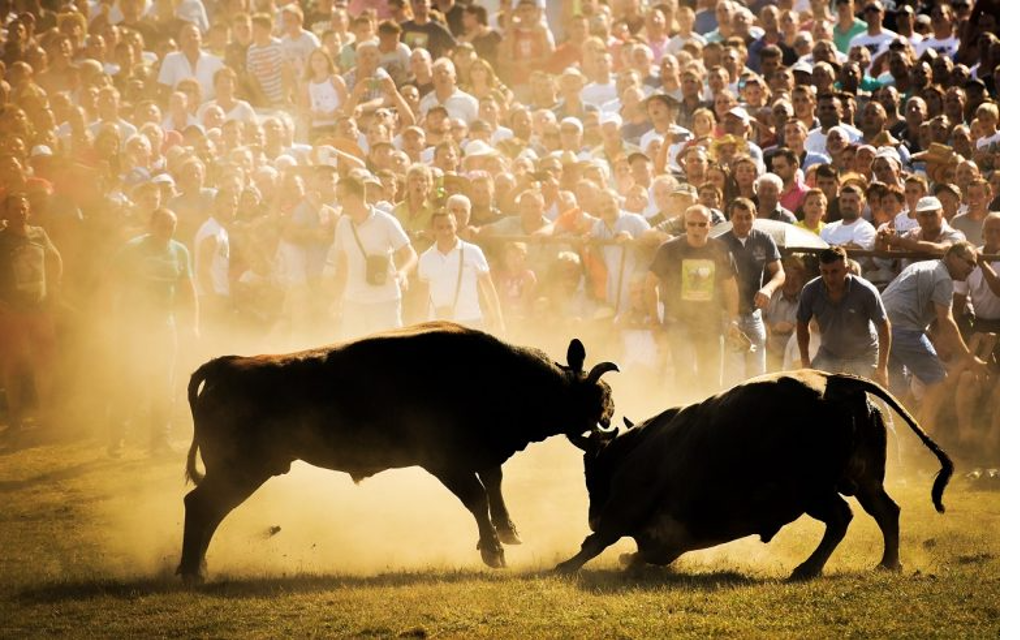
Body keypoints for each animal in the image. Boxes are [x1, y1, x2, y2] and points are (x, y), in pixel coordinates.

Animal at [179, 322, 616, 583]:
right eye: (595, 395)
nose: (610, 408)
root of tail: (228, 366)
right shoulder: (443, 462)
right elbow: (476, 496)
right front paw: (493, 552)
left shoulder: (480, 456)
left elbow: (493, 484)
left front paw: (509, 532)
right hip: (241, 470)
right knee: (201, 505)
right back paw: (192, 571)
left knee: (206, 508)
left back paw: (197, 567)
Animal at [554, 371, 950, 579]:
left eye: (592, 469)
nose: (591, 516)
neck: (637, 448)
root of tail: (837, 382)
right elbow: (641, 551)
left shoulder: (625, 509)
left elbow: (599, 541)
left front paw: (564, 566)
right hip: (865, 481)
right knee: (885, 511)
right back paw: (888, 563)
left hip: (812, 491)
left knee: (842, 517)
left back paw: (807, 569)